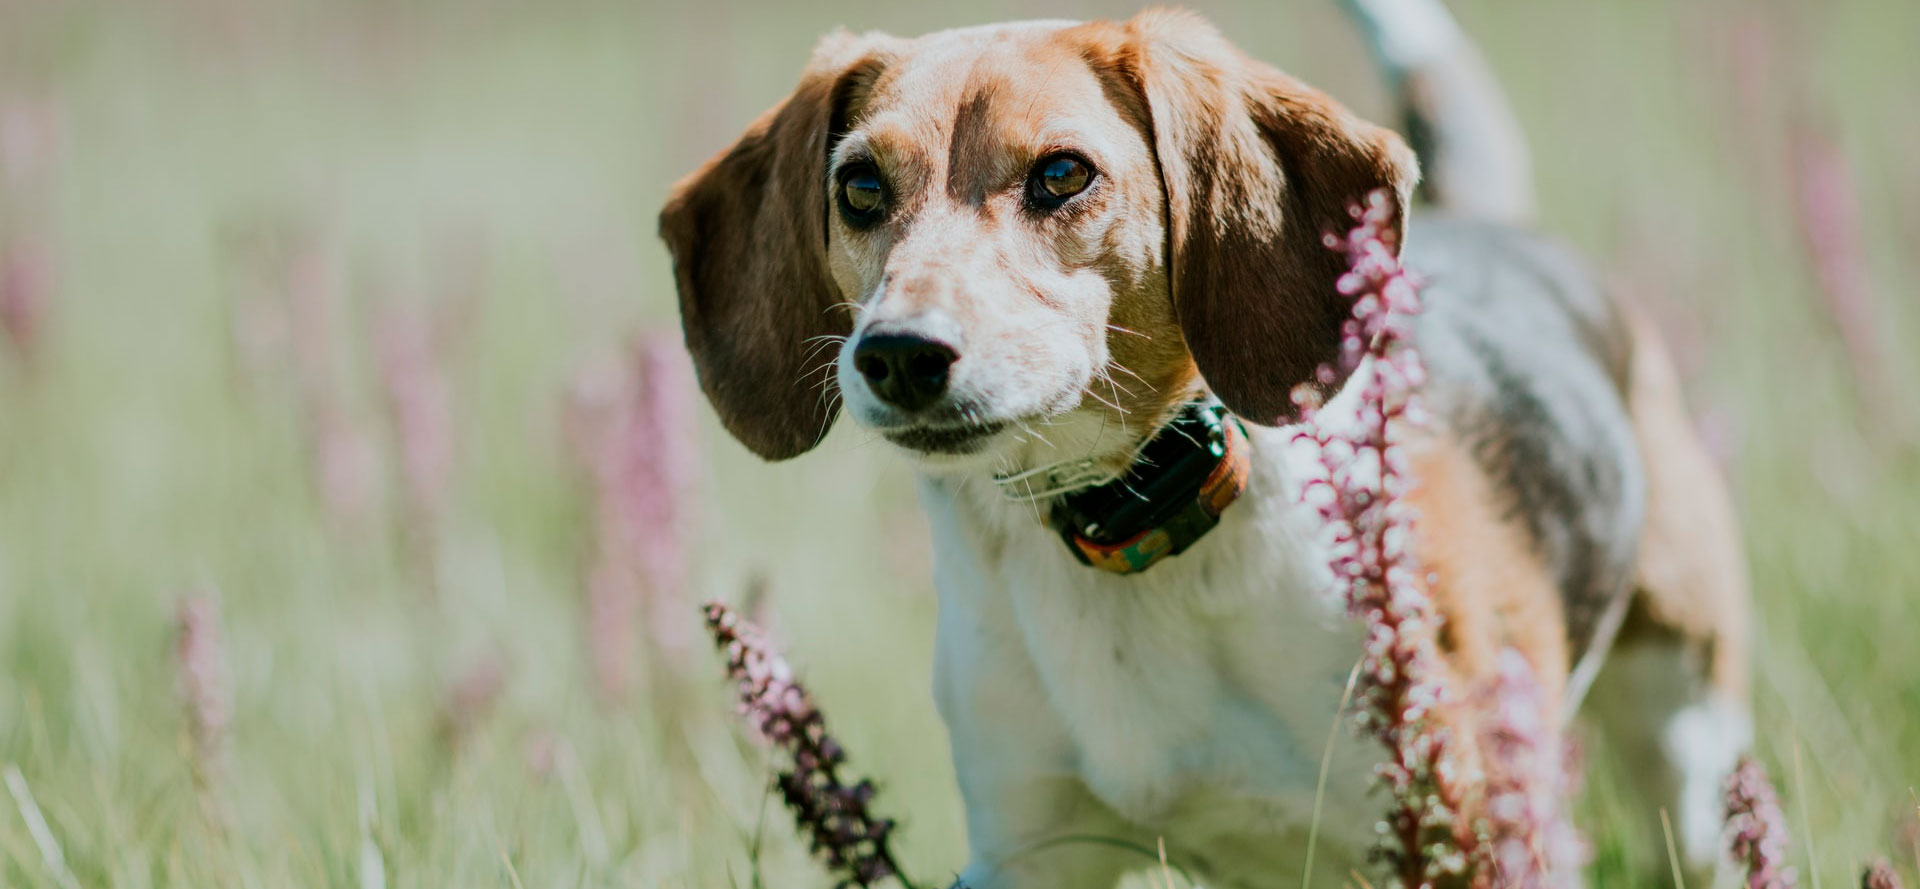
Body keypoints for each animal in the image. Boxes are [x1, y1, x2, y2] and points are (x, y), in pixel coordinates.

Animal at [660, 3, 1758, 887]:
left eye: (1063, 174)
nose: (895, 354)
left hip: (1687, 742)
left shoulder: (1462, 837)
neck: (1131, 524)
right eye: (859, 188)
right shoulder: (1025, 848)